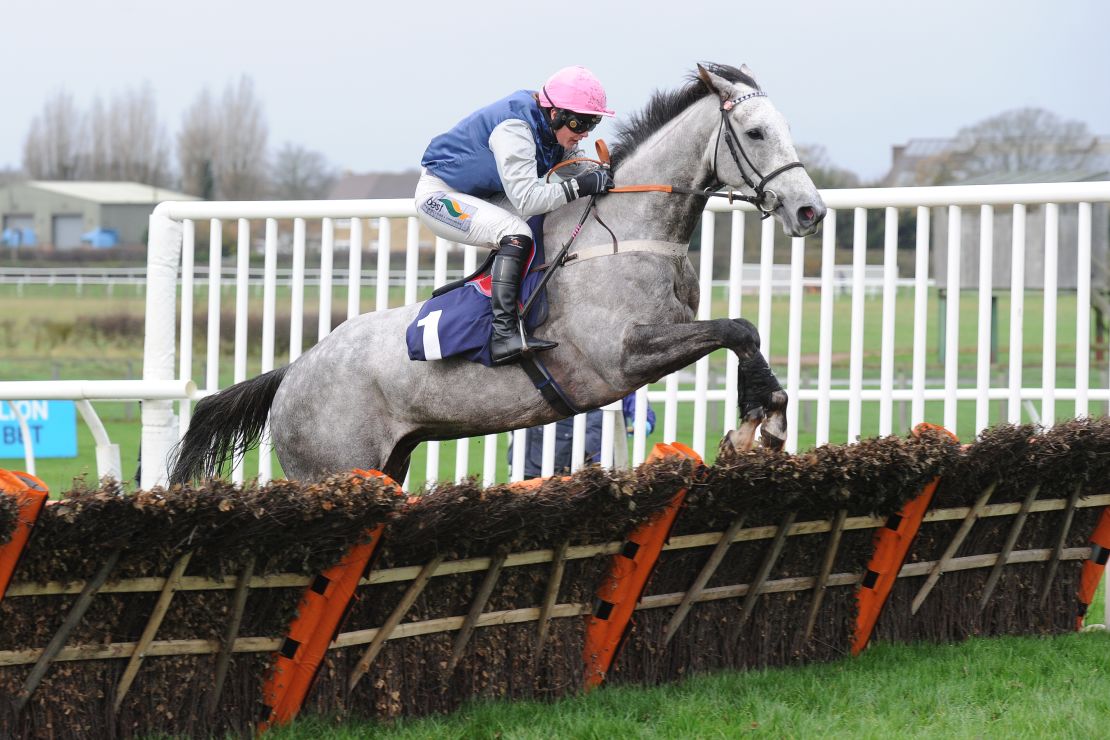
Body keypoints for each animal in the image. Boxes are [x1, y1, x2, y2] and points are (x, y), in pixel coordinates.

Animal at [170, 65, 825, 485]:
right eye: (756, 132)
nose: (809, 211)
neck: (626, 235)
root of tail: (291, 373)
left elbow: (743, 332)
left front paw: (769, 418)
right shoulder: (620, 357)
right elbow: (736, 328)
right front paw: (753, 425)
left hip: (391, 461)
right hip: (330, 469)